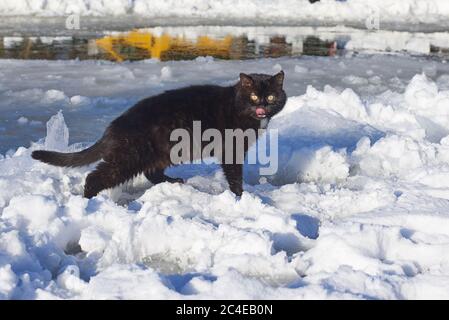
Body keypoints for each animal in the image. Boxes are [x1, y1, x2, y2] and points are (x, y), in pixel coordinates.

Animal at [31, 71, 286, 199]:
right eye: (254, 96)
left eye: (271, 96)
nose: (262, 105)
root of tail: (114, 126)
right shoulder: (231, 150)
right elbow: (235, 176)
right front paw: (240, 197)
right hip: (131, 156)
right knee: (95, 176)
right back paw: (89, 201)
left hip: (165, 152)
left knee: (151, 172)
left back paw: (173, 182)